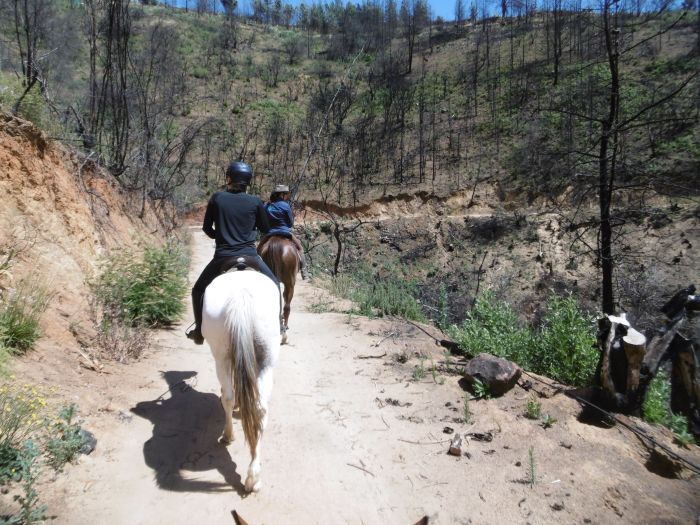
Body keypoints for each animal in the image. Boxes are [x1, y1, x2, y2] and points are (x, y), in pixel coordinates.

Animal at [201, 270, 280, 492]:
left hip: (222, 357)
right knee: (258, 408)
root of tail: (241, 297)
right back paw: (253, 476)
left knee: (229, 398)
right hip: (264, 360)